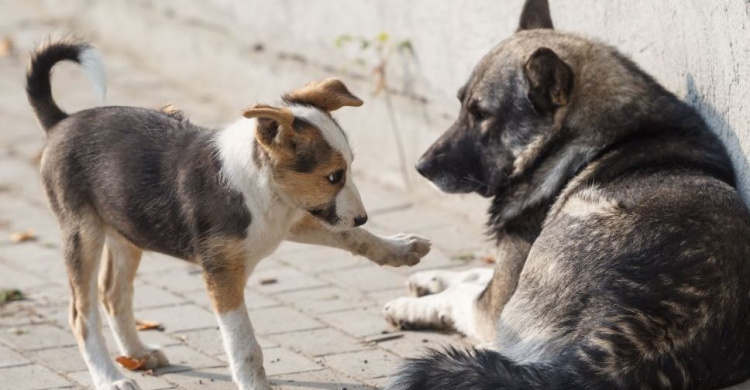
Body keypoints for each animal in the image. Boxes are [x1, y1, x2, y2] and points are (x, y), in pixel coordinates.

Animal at [26, 39, 432, 390]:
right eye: (333, 176)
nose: (363, 216)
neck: (263, 189)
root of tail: (60, 121)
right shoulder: (222, 274)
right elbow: (244, 343)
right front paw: (254, 384)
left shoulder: (291, 220)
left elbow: (351, 236)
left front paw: (400, 248)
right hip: (83, 234)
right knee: (82, 314)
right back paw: (110, 377)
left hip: (126, 227)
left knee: (113, 293)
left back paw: (139, 354)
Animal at [384, 0, 750, 390]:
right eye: (461, 104)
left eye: (481, 114)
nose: (421, 166)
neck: (577, 137)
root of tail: (640, 343)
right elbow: (473, 274)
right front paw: (429, 278)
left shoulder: (497, 303)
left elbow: (465, 293)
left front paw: (413, 305)